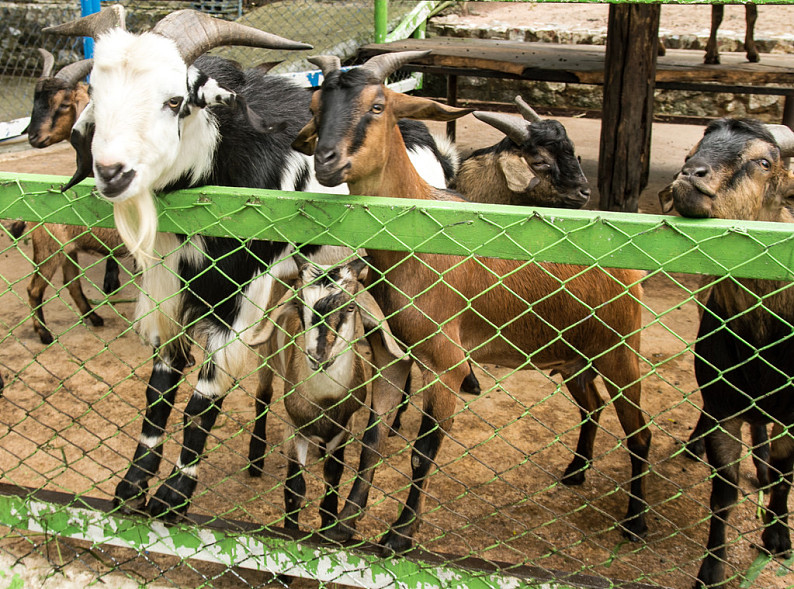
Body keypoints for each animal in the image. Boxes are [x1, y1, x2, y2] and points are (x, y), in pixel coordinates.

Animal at [49, 6, 454, 516]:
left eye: (175, 100)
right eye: (97, 97)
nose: (111, 173)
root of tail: (429, 144)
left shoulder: (238, 299)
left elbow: (203, 398)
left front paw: (173, 496)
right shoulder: (171, 293)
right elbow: (159, 390)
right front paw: (132, 487)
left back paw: (396, 421)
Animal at [294, 52, 648, 552]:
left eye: (378, 105)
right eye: (314, 104)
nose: (326, 161)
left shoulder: (446, 363)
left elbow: (423, 453)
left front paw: (400, 534)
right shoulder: (392, 358)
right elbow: (372, 437)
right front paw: (345, 523)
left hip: (620, 351)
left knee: (638, 431)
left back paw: (636, 521)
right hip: (574, 355)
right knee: (593, 405)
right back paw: (576, 472)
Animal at [668, 117, 792, 584]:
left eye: (763, 161)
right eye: (691, 151)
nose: (689, 173)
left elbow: (787, 474)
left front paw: (778, 535)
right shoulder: (725, 402)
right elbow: (723, 492)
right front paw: (711, 570)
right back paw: (694, 445)